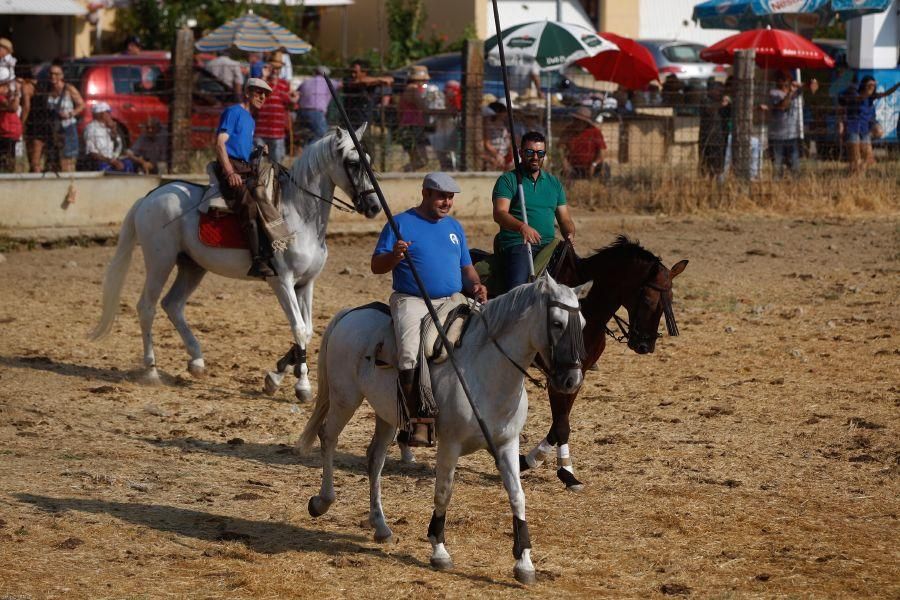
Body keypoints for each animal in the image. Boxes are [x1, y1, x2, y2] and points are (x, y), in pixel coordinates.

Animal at [520, 237, 688, 490]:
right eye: (647, 299)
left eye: (669, 302)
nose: (645, 345)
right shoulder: (558, 376)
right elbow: (561, 424)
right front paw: (566, 473)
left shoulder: (577, 375)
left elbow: (560, 424)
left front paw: (531, 461)